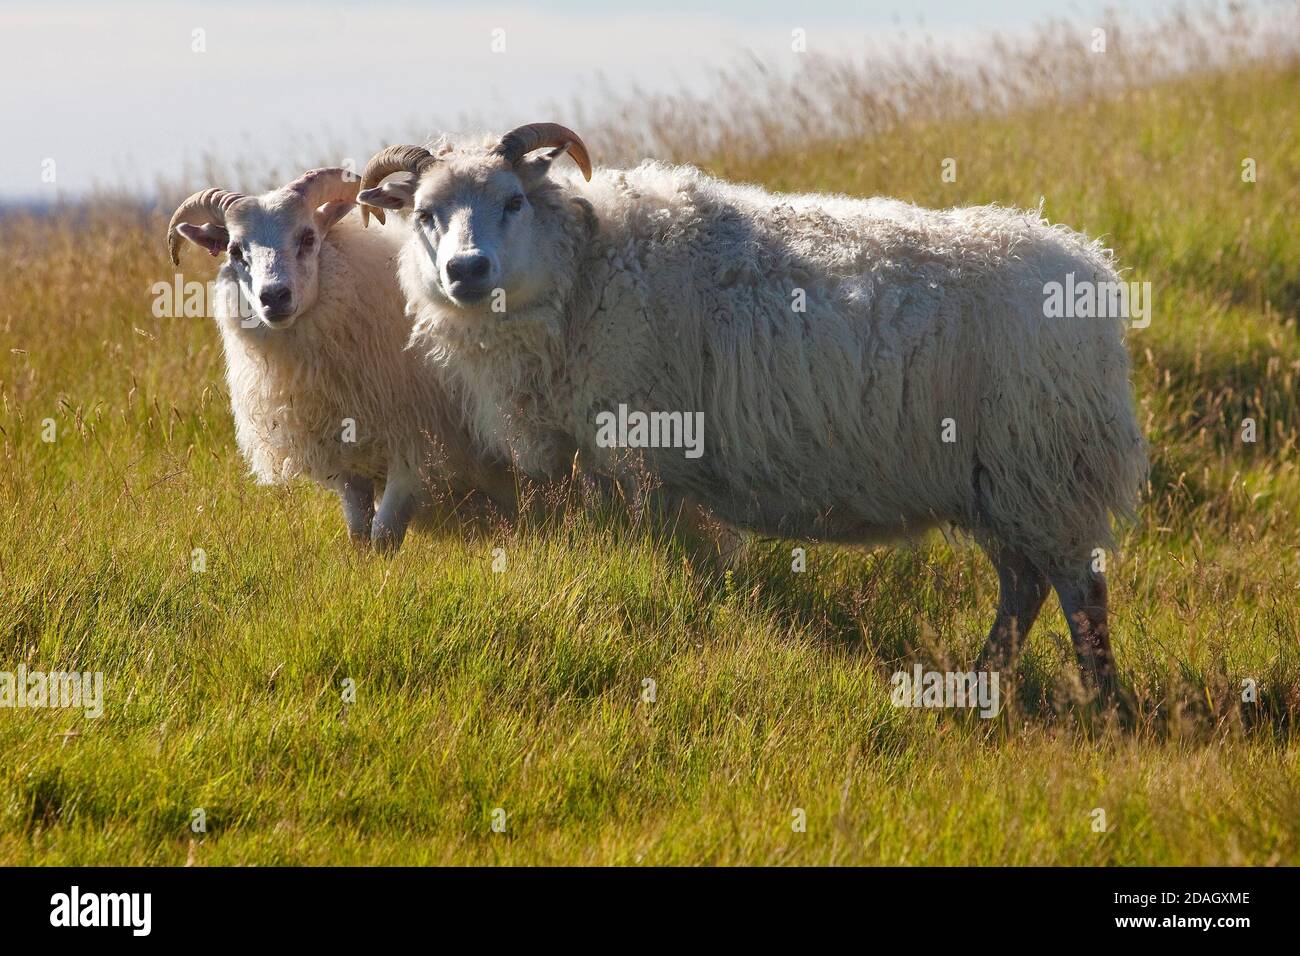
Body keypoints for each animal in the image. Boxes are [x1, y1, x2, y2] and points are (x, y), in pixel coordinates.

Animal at [167, 167, 517, 548]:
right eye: (234, 250)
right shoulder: (347, 462)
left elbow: (383, 535)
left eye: (307, 237)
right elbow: (359, 534)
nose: (274, 297)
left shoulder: (417, 452)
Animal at [356, 127, 1149, 697]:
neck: (586, 271)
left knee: (1079, 588)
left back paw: (1103, 704)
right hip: (1001, 481)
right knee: (1024, 585)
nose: (466, 271)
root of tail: (1092, 270)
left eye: (514, 202)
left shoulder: (644, 455)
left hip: (1044, 462)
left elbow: (654, 560)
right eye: (424, 215)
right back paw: (982, 682)